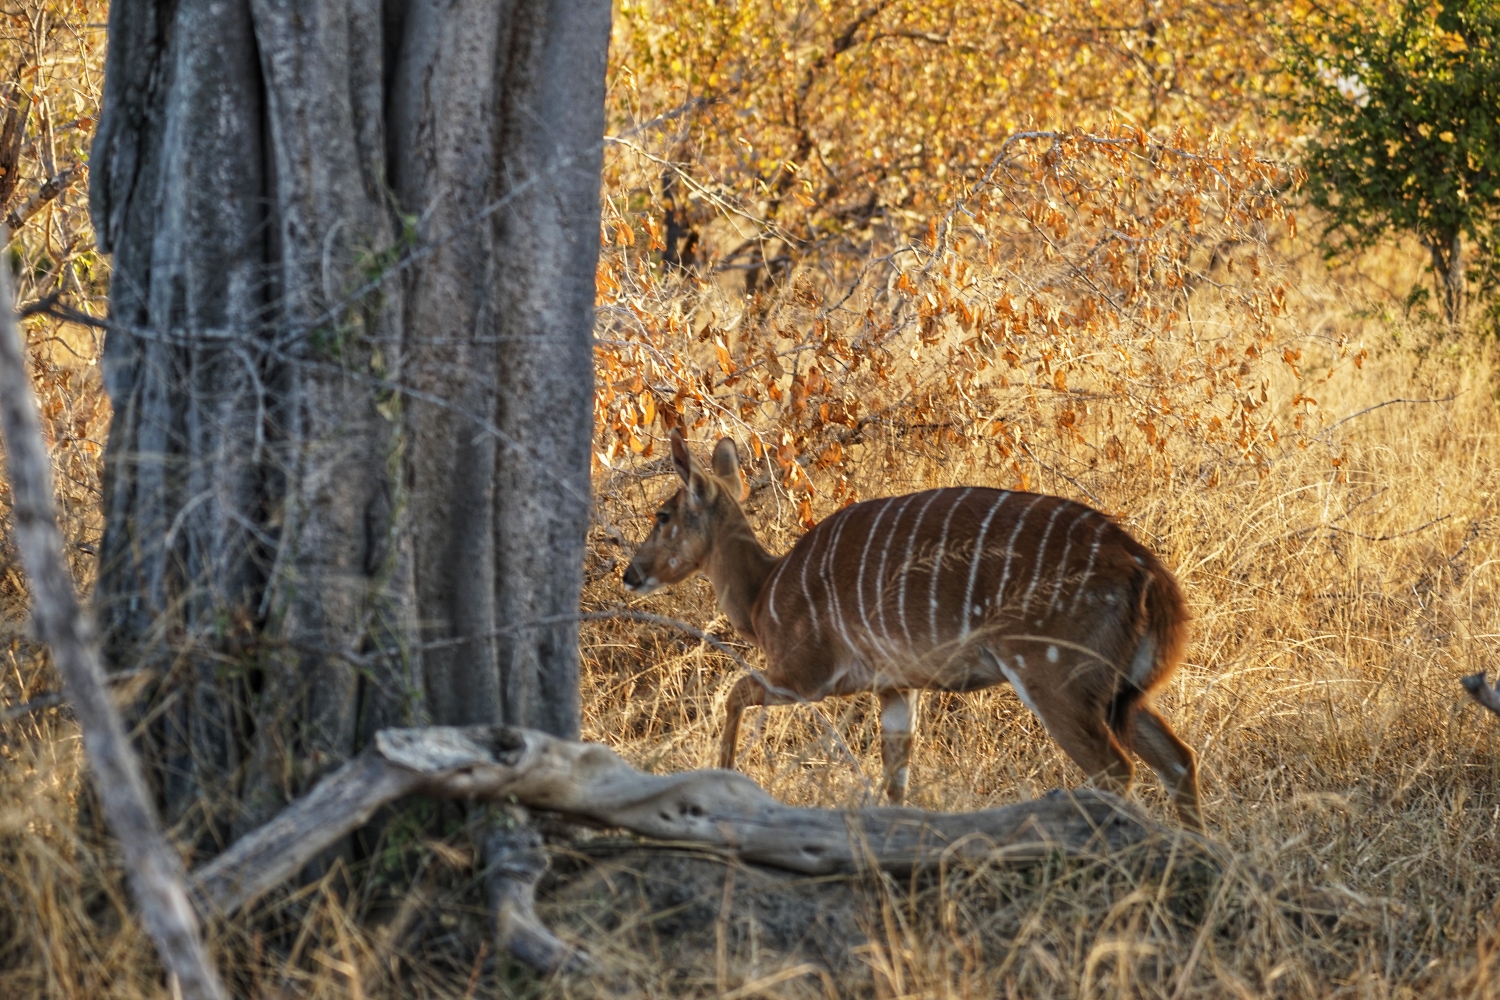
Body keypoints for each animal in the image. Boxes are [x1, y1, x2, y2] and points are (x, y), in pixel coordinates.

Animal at [621, 431, 1206, 827]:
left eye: (662, 515)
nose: (631, 573)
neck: (765, 591)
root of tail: (1146, 572)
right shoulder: (896, 688)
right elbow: (896, 782)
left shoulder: (806, 675)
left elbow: (734, 693)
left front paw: (719, 781)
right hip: (1120, 691)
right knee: (1178, 758)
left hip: (1053, 676)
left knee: (1116, 769)